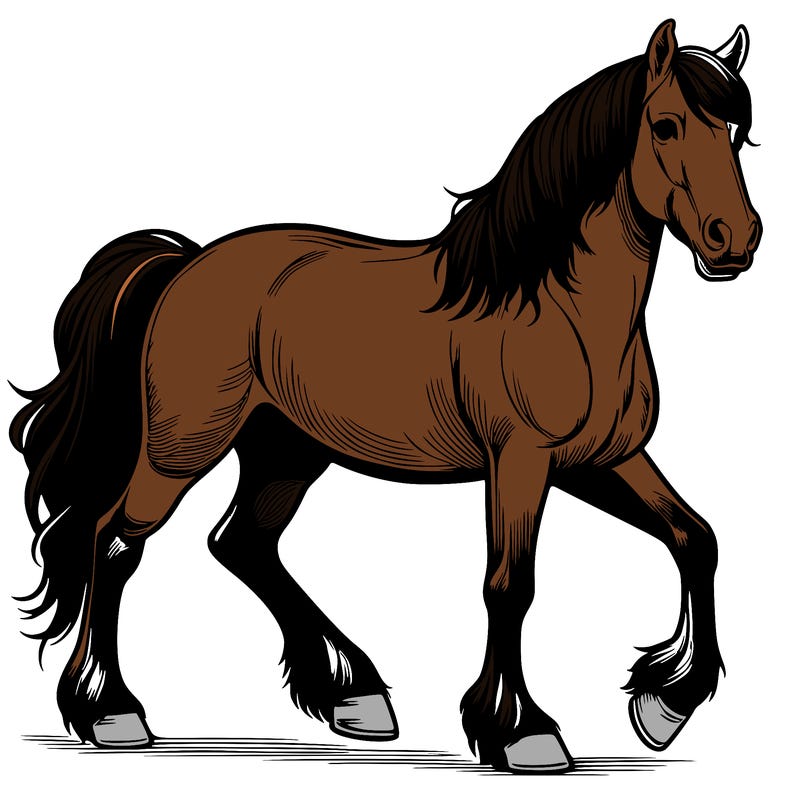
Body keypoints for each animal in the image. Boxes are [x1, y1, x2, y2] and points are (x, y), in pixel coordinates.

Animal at [10, 19, 760, 773]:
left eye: (736, 131)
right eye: (665, 125)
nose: (736, 240)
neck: (555, 305)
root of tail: (185, 263)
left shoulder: (601, 461)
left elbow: (696, 538)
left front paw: (664, 706)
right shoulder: (521, 462)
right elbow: (510, 584)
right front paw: (521, 731)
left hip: (286, 452)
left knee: (242, 542)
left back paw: (353, 695)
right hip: (181, 449)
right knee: (115, 542)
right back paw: (112, 713)